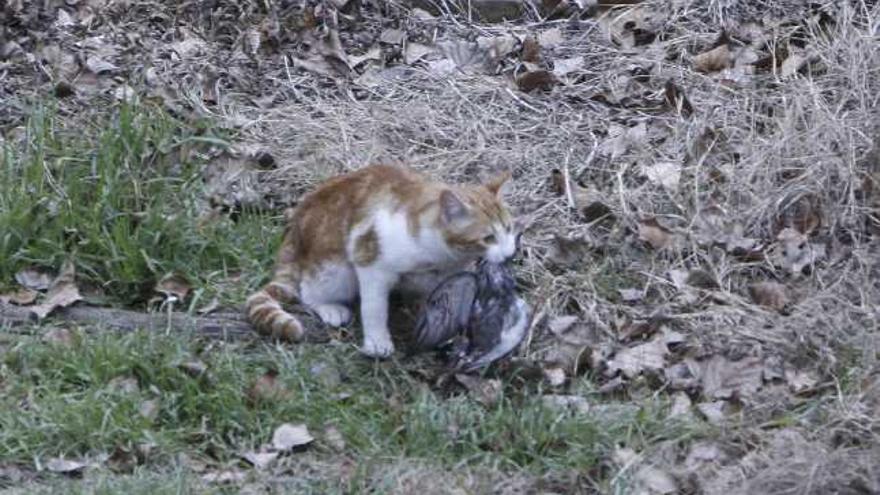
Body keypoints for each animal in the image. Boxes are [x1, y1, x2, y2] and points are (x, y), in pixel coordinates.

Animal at [244, 165, 520, 358]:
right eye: (488, 238)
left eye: (509, 228)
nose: (510, 253)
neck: (442, 256)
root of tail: (296, 222)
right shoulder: (372, 263)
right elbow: (374, 308)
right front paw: (378, 342)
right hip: (336, 268)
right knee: (308, 291)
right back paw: (329, 307)